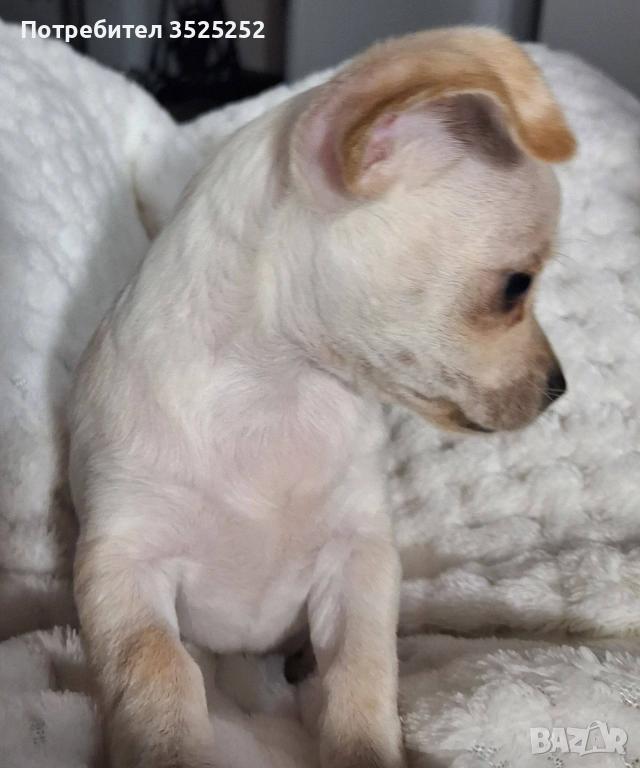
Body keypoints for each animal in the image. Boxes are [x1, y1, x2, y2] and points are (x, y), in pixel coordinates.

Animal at [69, 26, 575, 768]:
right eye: (516, 287)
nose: (559, 386)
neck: (274, 394)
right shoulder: (123, 564)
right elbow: (158, 668)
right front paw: (169, 745)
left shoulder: (358, 559)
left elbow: (362, 669)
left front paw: (362, 744)